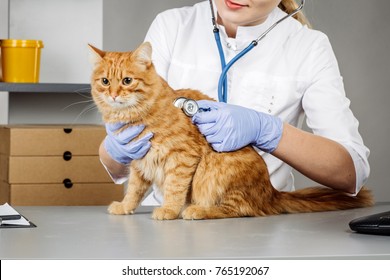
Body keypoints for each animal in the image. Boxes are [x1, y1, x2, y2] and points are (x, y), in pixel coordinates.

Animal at [89, 42, 374, 221]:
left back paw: (197, 211)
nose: (113, 95)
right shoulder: (138, 162)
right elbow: (134, 190)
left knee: (240, 209)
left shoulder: (182, 157)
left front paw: (168, 210)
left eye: (127, 81)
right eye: (105, 81)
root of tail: (271, 192)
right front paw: (125, 207)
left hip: (219, 171)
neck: (136, 117)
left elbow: (174, 189)